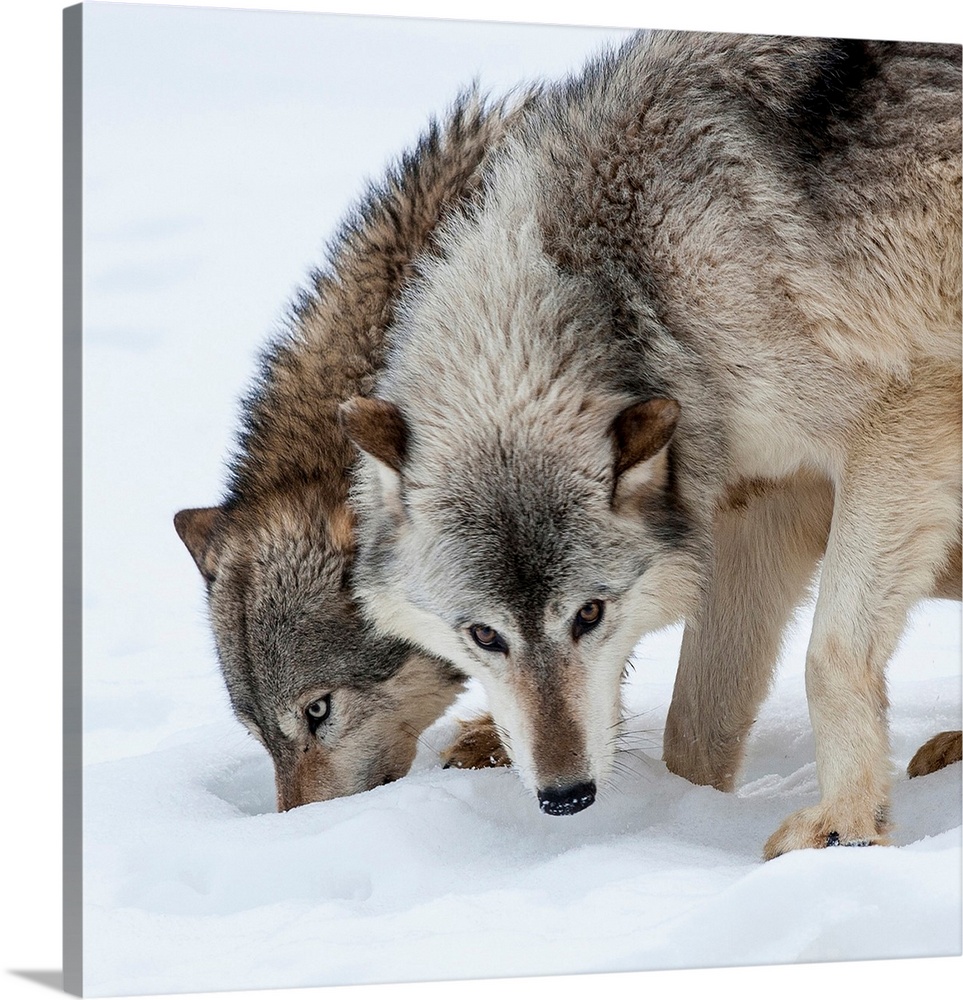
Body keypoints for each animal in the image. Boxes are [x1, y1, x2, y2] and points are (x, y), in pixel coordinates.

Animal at [342, 33, 960, 860]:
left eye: (589, 615)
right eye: (482, 635)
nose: (565, 796)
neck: (632, 281)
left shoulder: (900, 419)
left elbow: (828, 654)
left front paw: (845, 825)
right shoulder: (756, 502)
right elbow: (695, 725)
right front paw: (685, 816)